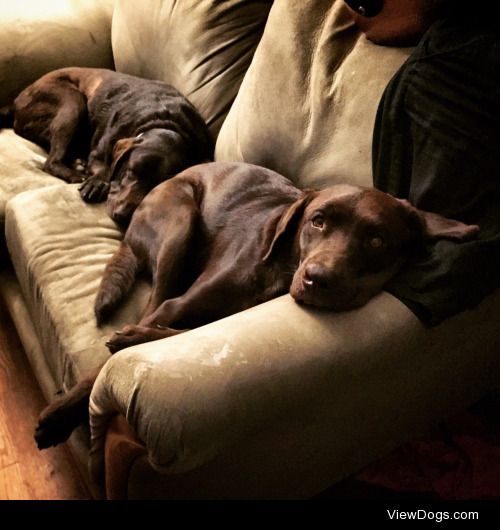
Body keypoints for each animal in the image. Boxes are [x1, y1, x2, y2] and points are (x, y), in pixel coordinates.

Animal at [0, 66, 214, 223]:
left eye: (157, 185)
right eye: (129, 172)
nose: (122, 215)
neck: (164, 121)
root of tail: (16, 101)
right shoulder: (101, 152)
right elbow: (104, 167)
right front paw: (96, 183)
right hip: (72, 101)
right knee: (51, 162)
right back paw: (78, 174)